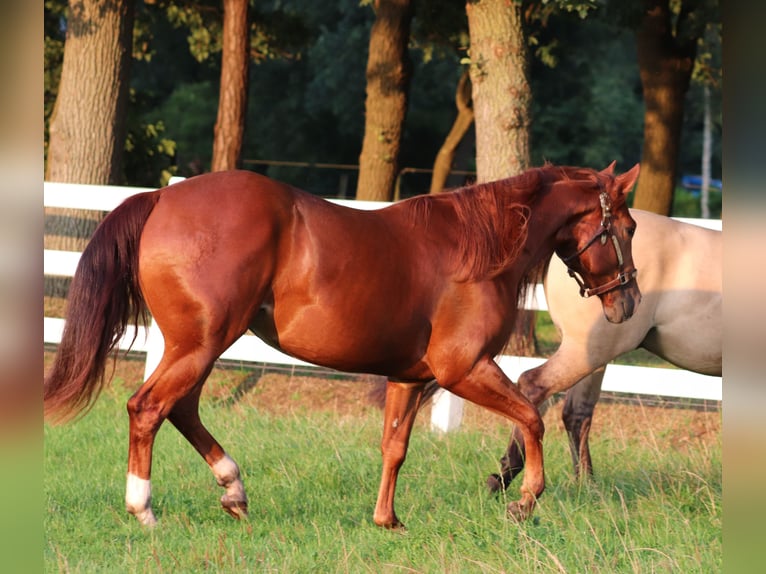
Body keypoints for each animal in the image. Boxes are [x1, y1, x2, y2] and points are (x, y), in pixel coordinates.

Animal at [44, 163, 641, 529]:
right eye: (630, 227)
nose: (628, 300)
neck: (480, 249)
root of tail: (164, 195)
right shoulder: (463, 369)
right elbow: (532, 417)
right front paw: (524, 499)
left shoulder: (410, 377)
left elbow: (394, 447)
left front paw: (387, 520)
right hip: (201, 344)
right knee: (149, 408)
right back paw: (143, 508)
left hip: (197, 346)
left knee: (181, 409)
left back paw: (233, 489)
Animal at [483, 209, 721, 492]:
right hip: (587, 353)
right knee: (533, 386)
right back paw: (507, 475)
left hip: (593, 356)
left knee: (576, 413)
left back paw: (586, 488)